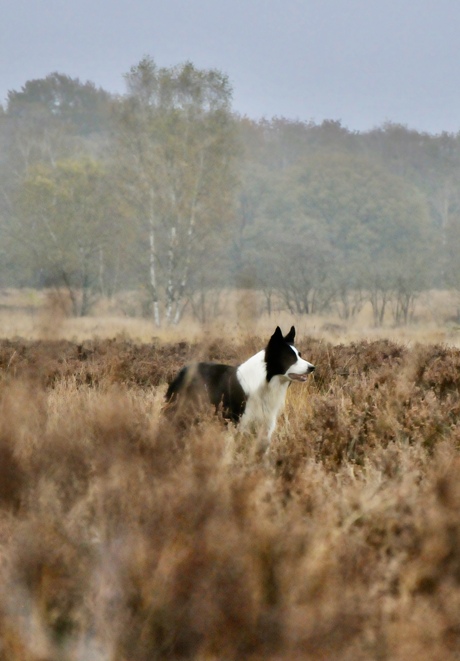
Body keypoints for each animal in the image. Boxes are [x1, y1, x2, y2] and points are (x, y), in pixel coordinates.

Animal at [164, 326, 314, 448]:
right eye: (290, 358)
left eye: (300, 355)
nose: (312, 367)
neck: (265, 380)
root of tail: (182, 372)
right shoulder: (239, 422)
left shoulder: (265, 425)